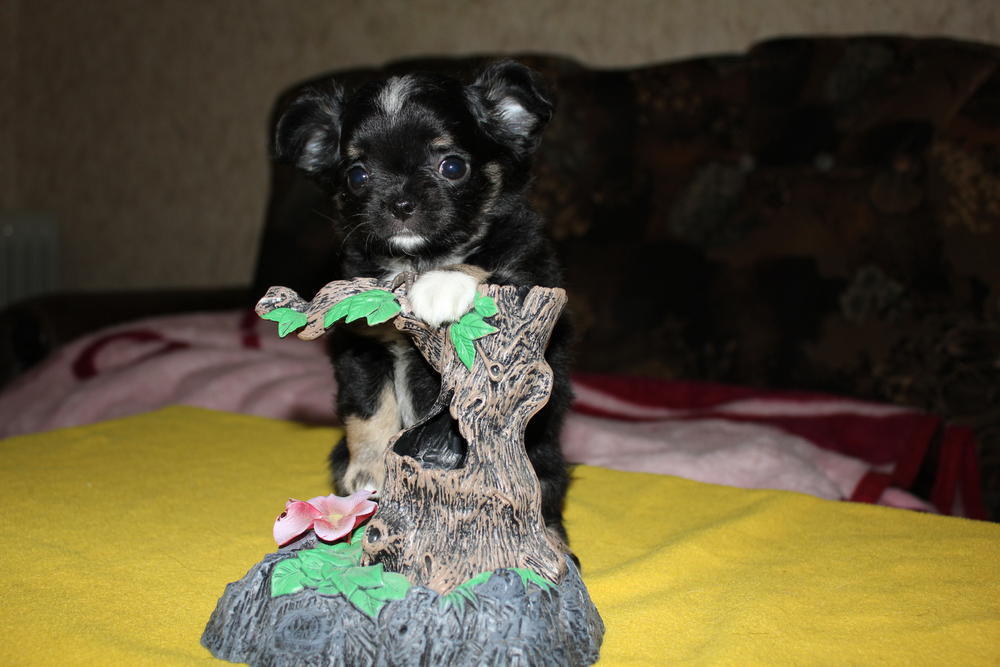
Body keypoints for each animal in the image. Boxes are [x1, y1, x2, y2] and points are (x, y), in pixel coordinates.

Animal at [273, 60, 573, 544]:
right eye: (357, 175)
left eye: (451, 166)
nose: (400, 203)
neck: (417, 259)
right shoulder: (363, 350)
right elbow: (370, 411)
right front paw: (370, 472)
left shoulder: (530, 284)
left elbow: (482, 270)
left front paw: (441, 285)